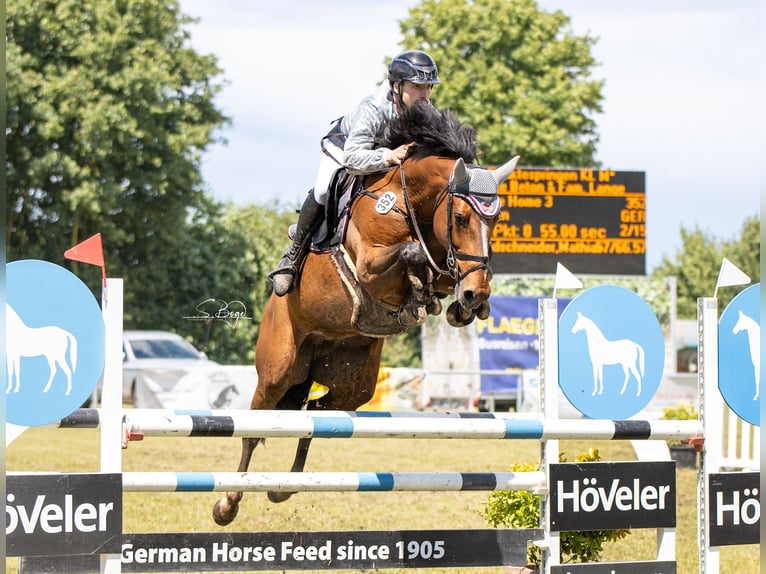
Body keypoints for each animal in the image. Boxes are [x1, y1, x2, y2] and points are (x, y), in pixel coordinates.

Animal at [213, 103, 520, 528]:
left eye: (495, 220)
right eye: (460, 218)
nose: (477, 294)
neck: (408, 201)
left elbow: (440, 273)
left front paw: (456, 305)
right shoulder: (371, 268)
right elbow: (411, 253)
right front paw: (423, 290)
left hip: (351, 382)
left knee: (316, 415)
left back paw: (284, 488)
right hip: (278, 368)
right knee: (254, 428)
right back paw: (228, 503)